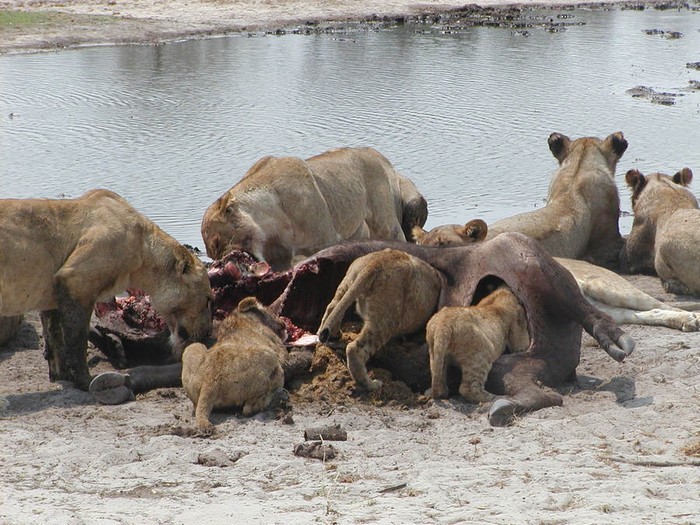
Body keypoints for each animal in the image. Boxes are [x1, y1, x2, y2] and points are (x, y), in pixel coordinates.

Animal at [0, 188, 213, 388]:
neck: (143, 247)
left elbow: (54, 337)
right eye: (208, 300)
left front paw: (61, 377)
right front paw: (85, 381)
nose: (207, 333)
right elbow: (76, 338)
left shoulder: (50, 292)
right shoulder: (76, 278)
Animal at [183, 296, 290, 432]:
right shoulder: (279, 348)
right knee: (248, 409)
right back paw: (278, 396)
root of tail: (210, 381)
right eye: (271, 311)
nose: (284, 324)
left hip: (192, 347)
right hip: (271, 358)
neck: (238, 318)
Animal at [197, 146, 426, 270]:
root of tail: (378, 155)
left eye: (217, 243)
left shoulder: (326, 240)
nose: (221, 261)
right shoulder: (279, 261)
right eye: (211, 254)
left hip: (388, 224)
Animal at [318, 248, 442, 390]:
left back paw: (333, 335)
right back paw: (371, 385)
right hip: (387, 318)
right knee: (354, 349)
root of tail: (377, 262)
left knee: (332, 307)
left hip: (347, 282)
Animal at [416, 219, 700, 330]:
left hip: (609, 287)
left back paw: (691, 319)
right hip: (613, 311)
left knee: (660, 304)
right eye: (421, 246)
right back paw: (683, 322)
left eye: (443, 244)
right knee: (648, 314)